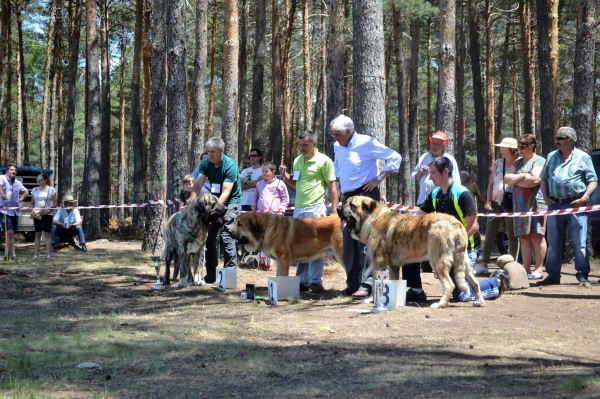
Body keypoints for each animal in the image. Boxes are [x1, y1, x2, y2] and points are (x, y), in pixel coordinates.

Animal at [340, 197, 486, 310]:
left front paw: (371, 299)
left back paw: (440, 304)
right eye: (346, 202)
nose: (338, 208)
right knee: (475, 282)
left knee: (449, 285)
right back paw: (479, 302)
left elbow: (377, 282)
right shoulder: (393, 266)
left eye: (352, 205)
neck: (373, 219)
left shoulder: (378, 262)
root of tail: (456, 224)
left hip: (437, 262)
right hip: (463, 262)